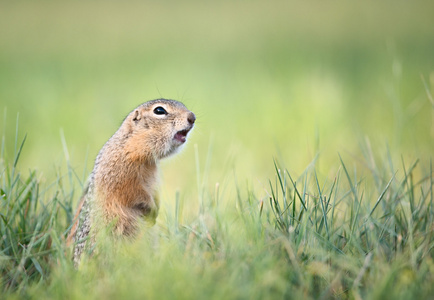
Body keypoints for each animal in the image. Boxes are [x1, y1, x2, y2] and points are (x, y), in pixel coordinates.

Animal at [67, 99, 196, 266]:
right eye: (159, 111)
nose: (192, 117)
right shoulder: (124, 176)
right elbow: (134, 192)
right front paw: (152, 209)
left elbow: (154, 192)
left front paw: (156, 208)